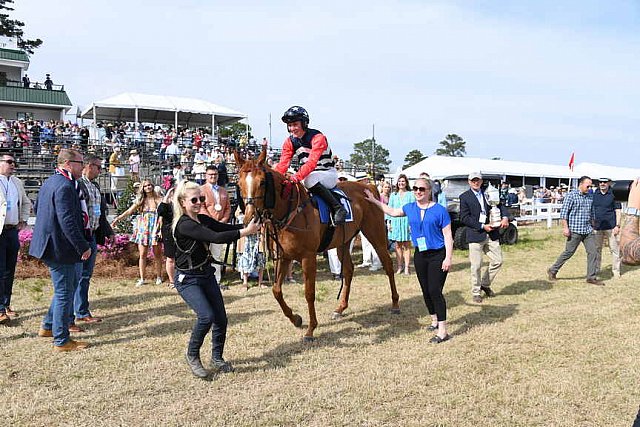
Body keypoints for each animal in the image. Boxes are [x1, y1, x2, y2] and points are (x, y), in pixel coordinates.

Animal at [234, 150, 396, 342]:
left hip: (375, 235)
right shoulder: (284, 256)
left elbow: (309, 293)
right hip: (343, 243)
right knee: (348, 270)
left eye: (262, 182)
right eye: (239, 183)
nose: (250, 218)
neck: (291, 210)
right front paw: (296, 319)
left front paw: (311, 330)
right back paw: (340, 308)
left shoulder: (308, 257)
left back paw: (395, 303)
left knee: (388, 265)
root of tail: (368, 186)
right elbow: (276, 290)